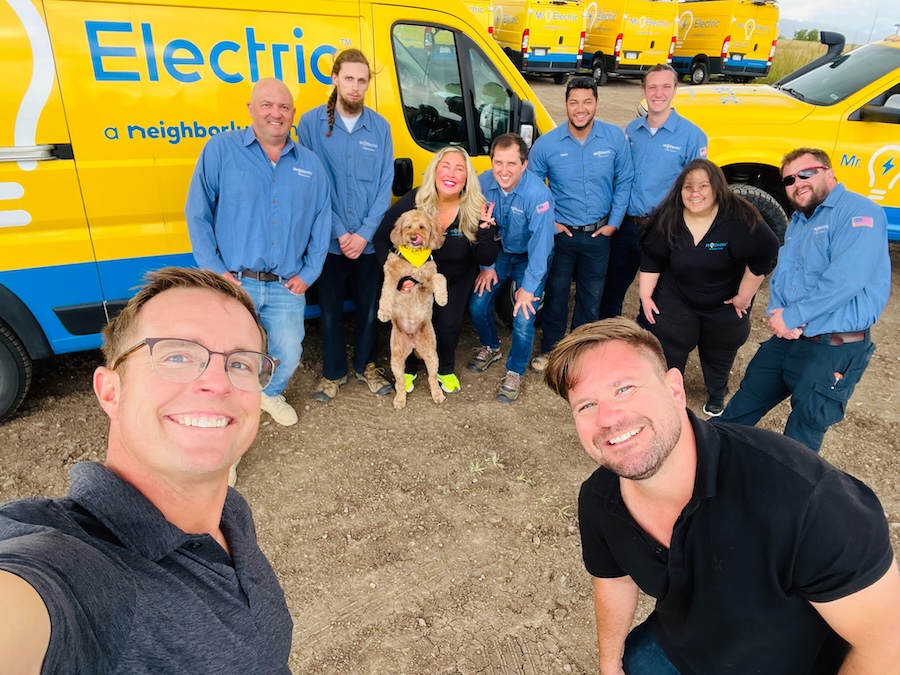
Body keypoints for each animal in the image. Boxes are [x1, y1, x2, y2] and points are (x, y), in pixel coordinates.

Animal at [378, 211, 448, 410]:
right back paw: (399, 399)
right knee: (401, 383)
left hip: (432, 355)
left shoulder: (426, 282)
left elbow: (440, 278)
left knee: (432, 378)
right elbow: (386, 292)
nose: (413, 237)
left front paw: (442, 298)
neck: (413, 260)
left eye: (422, 227)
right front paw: (383, 312)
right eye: (408, 227)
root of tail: (413, 341)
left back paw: (437, 395)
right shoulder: (392, 275)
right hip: (396, 359)